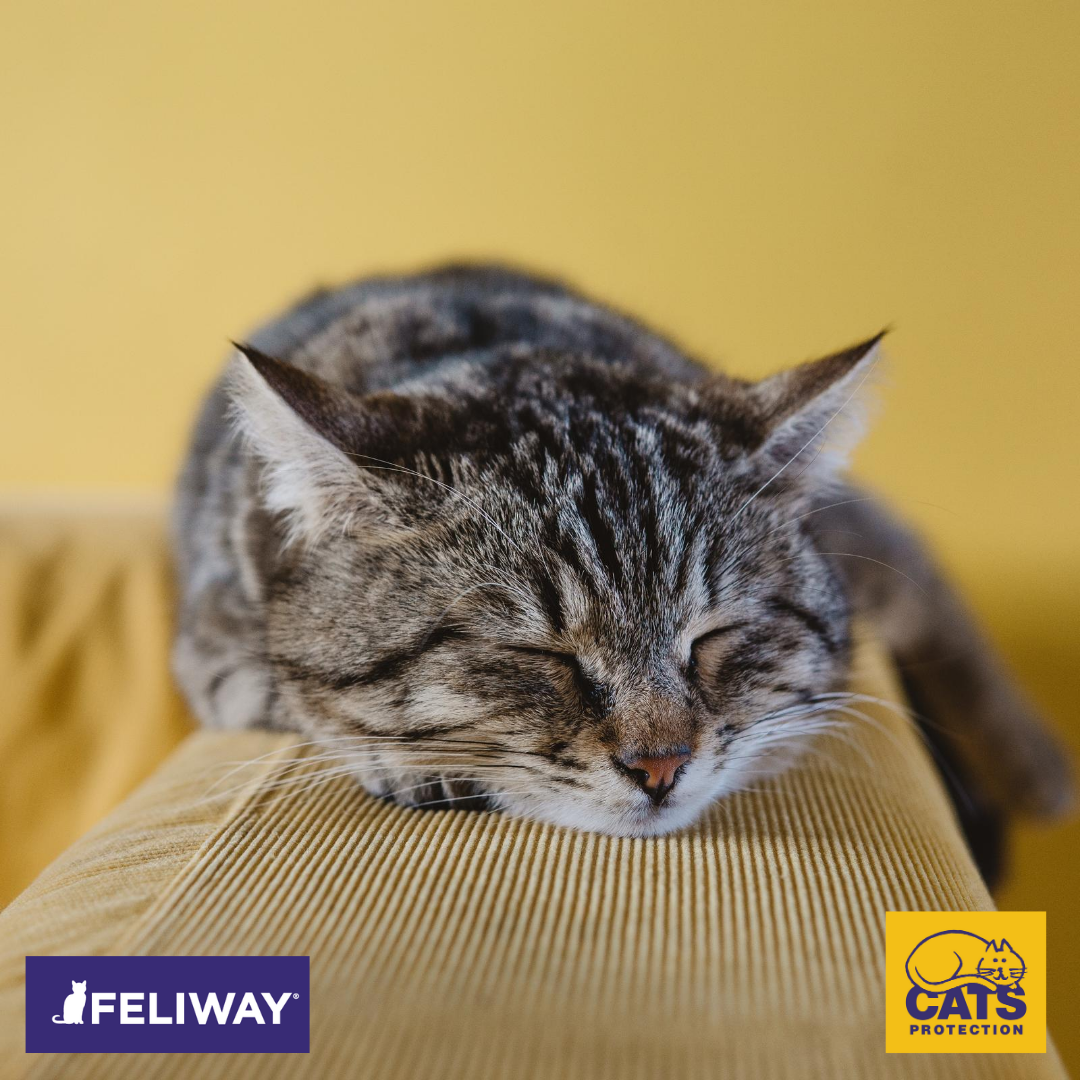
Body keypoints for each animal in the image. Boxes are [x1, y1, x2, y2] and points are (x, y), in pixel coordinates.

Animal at [170, 265, 1071, 838]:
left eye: (713, 638)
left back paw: (1036, 762)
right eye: (540, 655)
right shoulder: (214, 653)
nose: (662, 765)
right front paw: (416, 763)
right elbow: (293, 699)